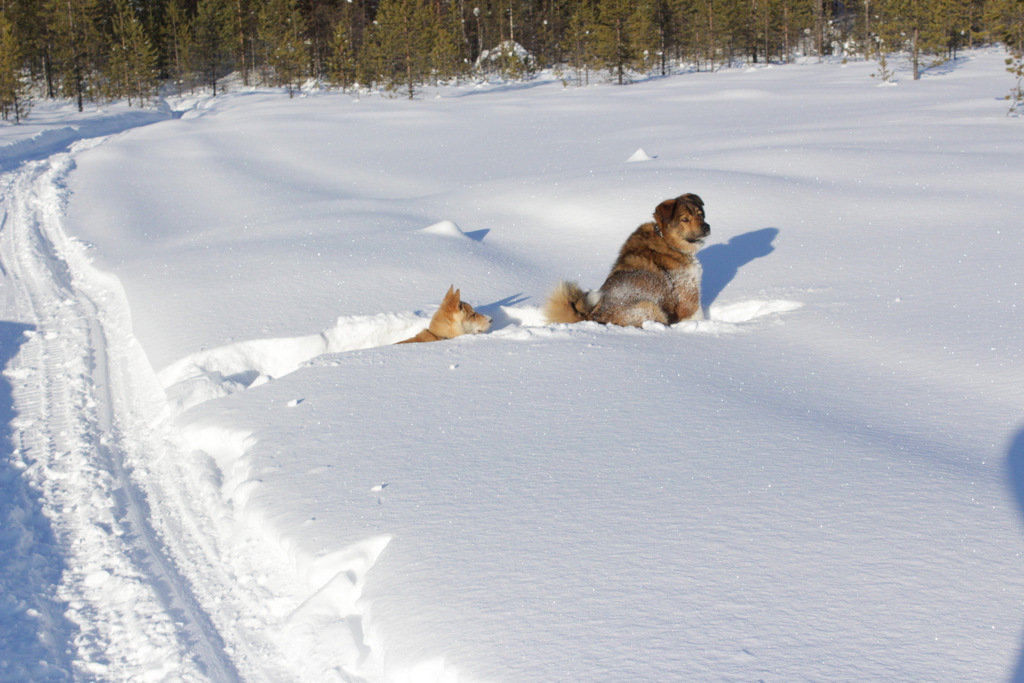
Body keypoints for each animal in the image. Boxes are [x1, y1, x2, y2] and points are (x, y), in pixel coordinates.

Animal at [544, 192, 712, 327]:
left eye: (700, 214)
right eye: (685, 219)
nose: (706, 227)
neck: (667, 241)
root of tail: (590, 317)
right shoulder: (688, 298)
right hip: (649, 307)